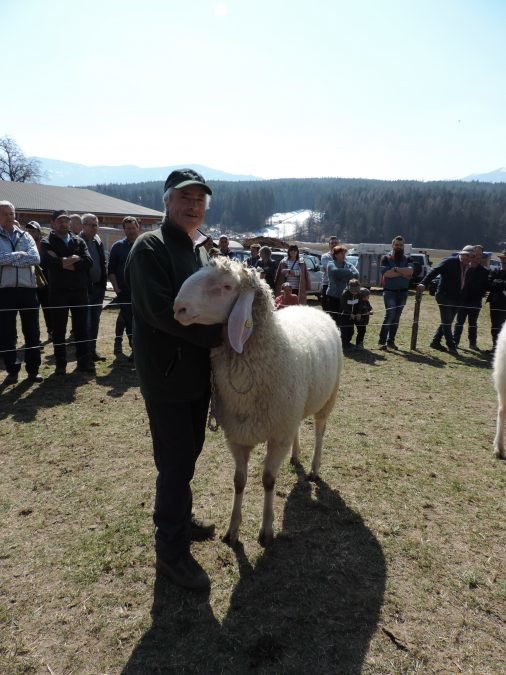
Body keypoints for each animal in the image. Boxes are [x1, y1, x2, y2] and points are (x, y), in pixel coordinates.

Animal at [174, 256, 344, 548]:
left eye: (227, 286)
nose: (178, 307)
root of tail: (309, 307)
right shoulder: (238, 436)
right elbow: (239, 481)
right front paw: (232, 530)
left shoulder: (277, 436)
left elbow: (267, 481)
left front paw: (266, 529)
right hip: (292, 409)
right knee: (298, 429)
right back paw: (295, 456)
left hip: (326, 400)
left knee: (320, 432)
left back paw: (314, 467)